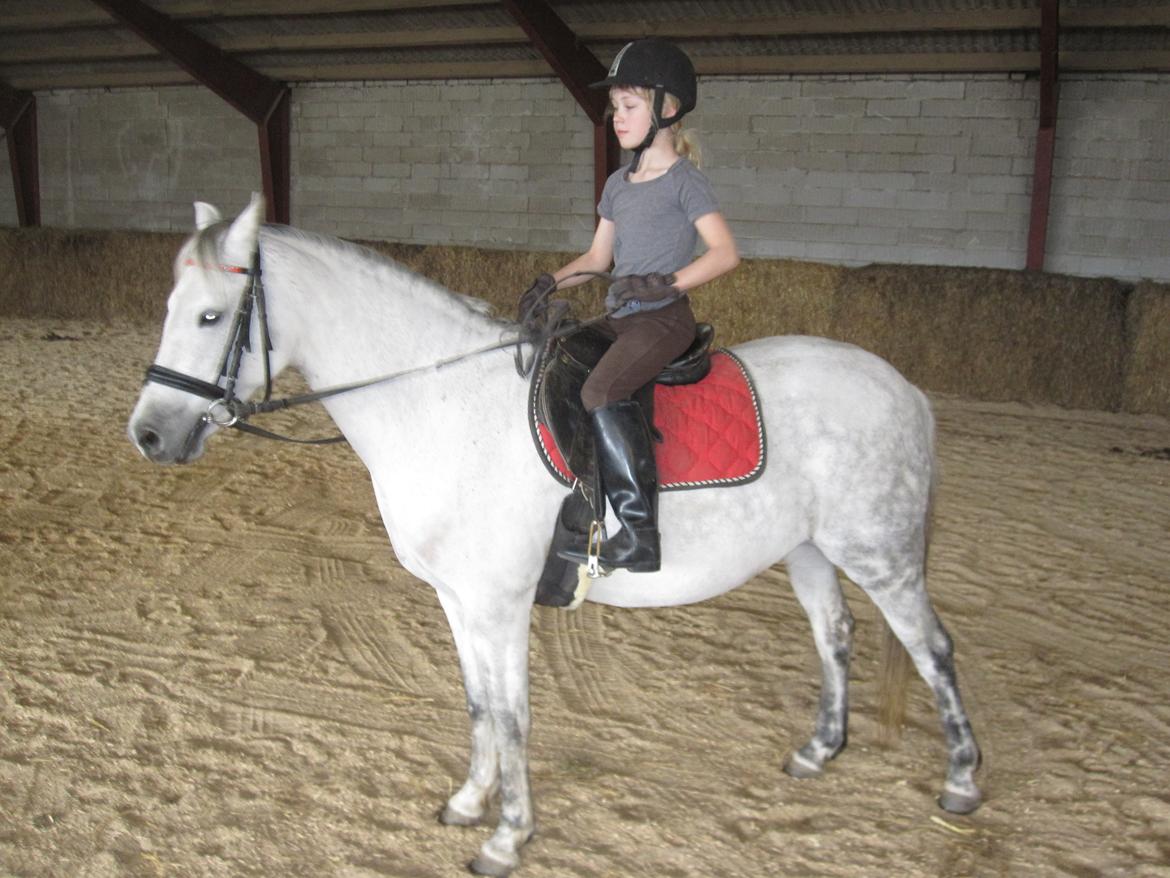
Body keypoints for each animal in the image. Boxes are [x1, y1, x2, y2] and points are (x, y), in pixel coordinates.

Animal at [127, 194, 981, 877]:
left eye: (210, 317)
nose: (149, 434)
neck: (438, 402)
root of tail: (904, 387)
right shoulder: (459, 601)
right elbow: (478, 704)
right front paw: (470, 800)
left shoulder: (500, 604)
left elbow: (512, 716)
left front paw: (508, 837)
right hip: (808, 550)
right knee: (835, 635)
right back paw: (818, 750)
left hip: (881, 554)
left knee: (932, 650)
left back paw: (964, 780)